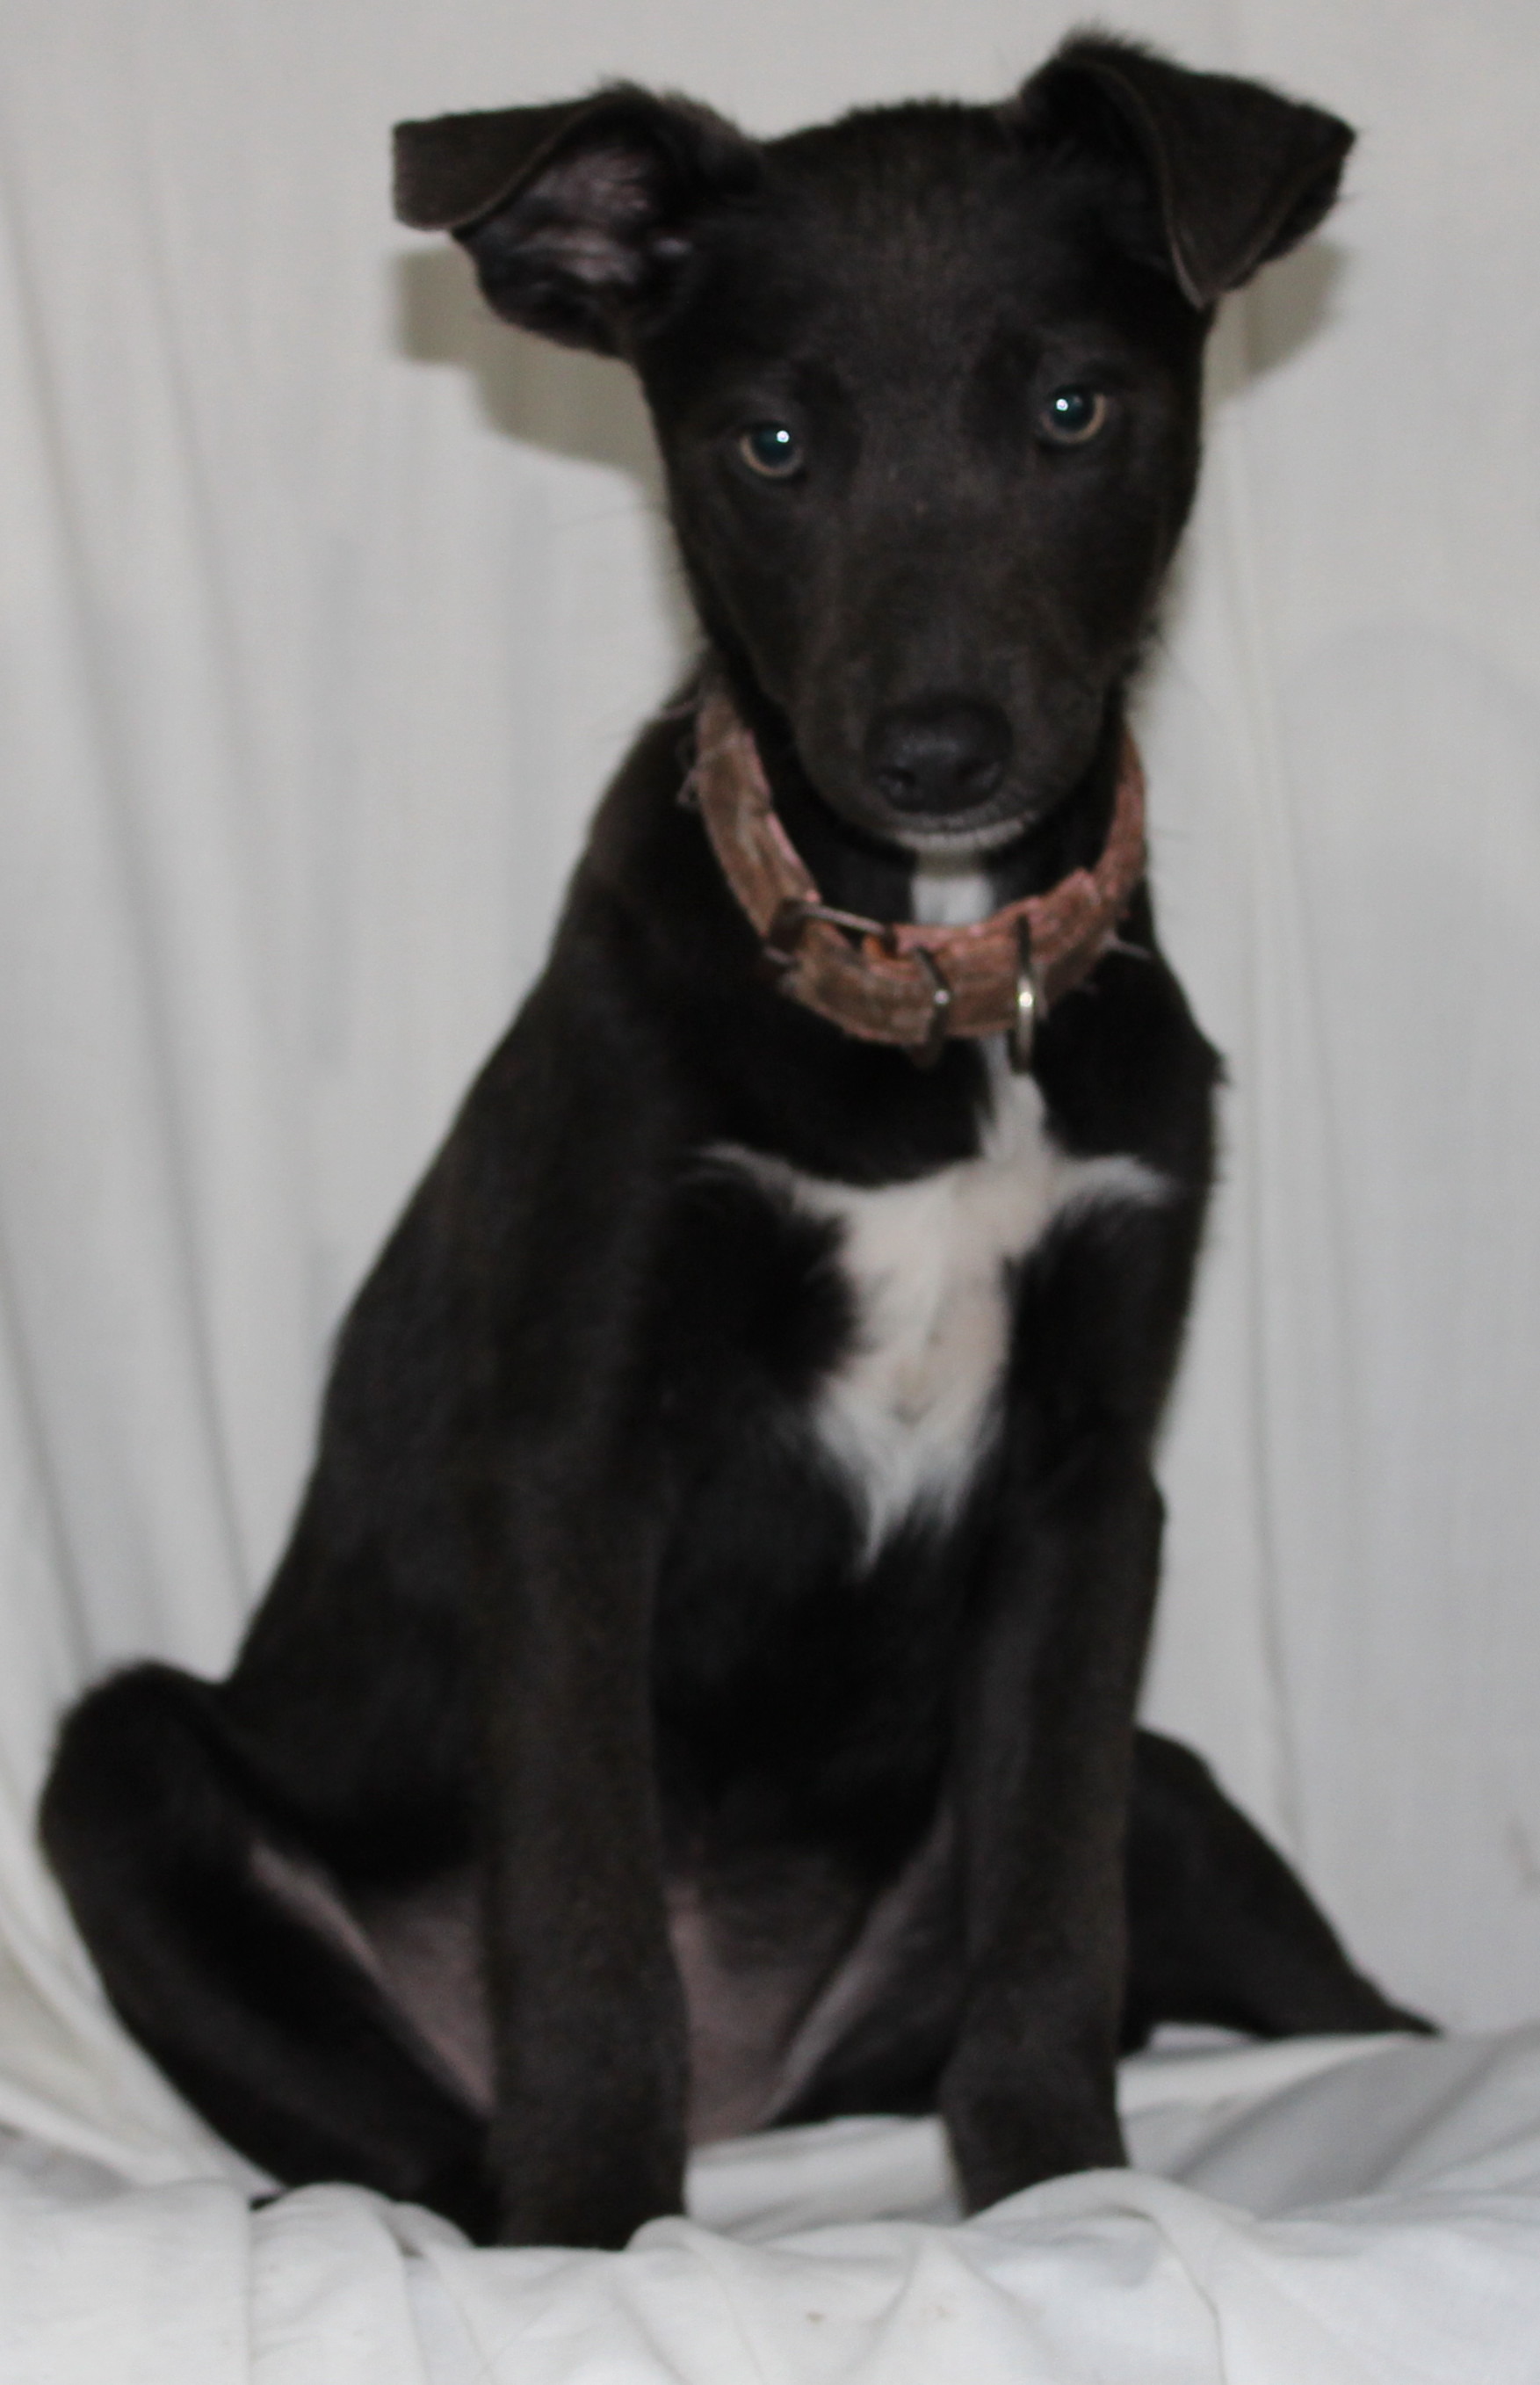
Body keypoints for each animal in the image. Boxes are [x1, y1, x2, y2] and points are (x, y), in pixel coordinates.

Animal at [41, 33, 1427, 2251]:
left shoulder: (1089, 1488)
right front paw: (597, 2239)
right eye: (768, 446)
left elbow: (1050, 1919)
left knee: (1333, 1996)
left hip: (1180, 1789)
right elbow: (589, 1919)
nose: (935, 751)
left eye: (1071, 409)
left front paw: (1064, 2203)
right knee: (410, 2127)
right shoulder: (575, 1461)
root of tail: (774, 2088)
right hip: (127, 1772)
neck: (932, 990)